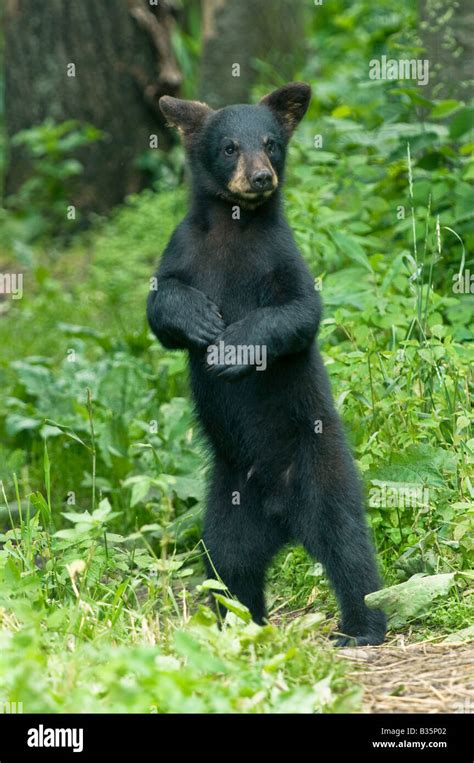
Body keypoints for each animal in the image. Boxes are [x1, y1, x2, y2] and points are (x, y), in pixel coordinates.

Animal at [147, 82, 386, 644]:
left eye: (271, 143)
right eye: (230, 146)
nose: (260, 177)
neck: (235, 230)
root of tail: (282, 516)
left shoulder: (281, 257)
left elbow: (298, 312)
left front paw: (233, 346)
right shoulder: (182, 249)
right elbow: (160, 304)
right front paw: (199, 320)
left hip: (323, 473)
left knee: (348, 548)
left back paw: (362, 627)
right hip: (227, 505)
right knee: (227, 566)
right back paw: (236, 626)